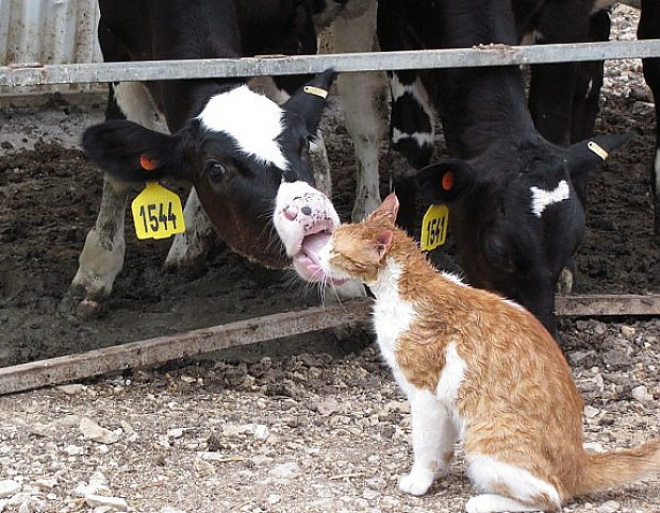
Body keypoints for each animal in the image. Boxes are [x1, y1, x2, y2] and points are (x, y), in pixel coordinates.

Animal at [318, 193, 656, 512]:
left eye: (334, 250)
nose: (319, 254)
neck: (403, 290)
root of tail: (579, 462)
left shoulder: (425, 395)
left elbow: (424, 445)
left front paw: (419, 480)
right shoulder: (444, 403)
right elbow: (441, 446)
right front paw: (438, 472)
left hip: (484, 441)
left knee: (552, 496)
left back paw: (483, 501)